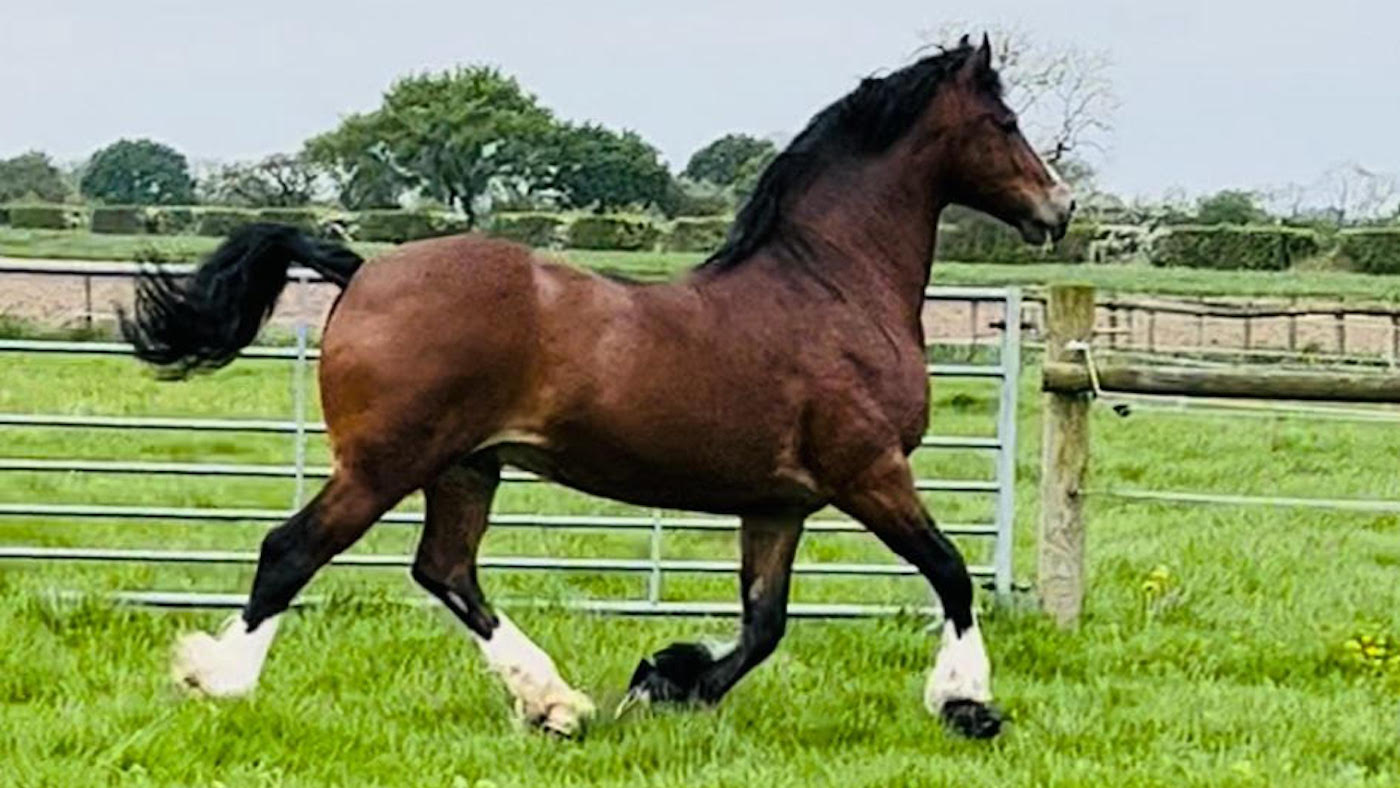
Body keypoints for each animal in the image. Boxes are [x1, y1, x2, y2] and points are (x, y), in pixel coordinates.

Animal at [121, 35, 1072, 740]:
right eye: (1005, 119)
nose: (1058, 210)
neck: (829, 286)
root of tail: (363, 270)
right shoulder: (869, 473)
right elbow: (950, 573)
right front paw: (967, 703)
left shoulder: (779, 505)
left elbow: (764, 624)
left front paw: (667, 681)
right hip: (385, 465)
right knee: (292, 551)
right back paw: (217, 678)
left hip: (467, 467)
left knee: (446, 570)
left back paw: (555, 704)